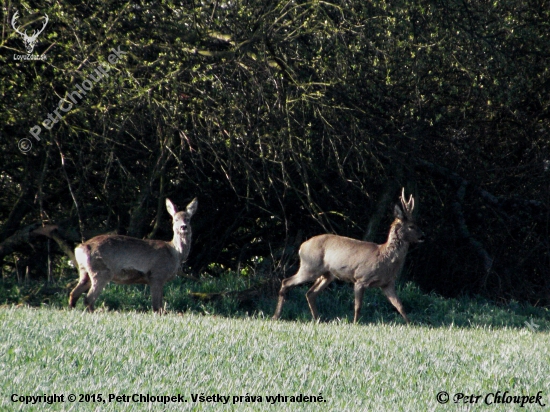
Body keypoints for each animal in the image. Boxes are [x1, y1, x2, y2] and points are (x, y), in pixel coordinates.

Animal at [69, 199, 198, 312]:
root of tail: (79, 248)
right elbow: (157, 307)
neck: (175, 253)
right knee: (88, 298)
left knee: (74, 294)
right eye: (175, 219)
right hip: (101, 271)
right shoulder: (157, 275)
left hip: (85, 271)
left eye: (188, 219)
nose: (183, 226)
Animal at [274, 190, 424, 326]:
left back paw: (318, 319)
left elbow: (400, 306)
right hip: (310, 266)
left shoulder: (387, 283)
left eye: (417, 224)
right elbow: (358, 306)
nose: (423, 236)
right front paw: (355, 323)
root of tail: (302, 247)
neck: (385, 258)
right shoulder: (361, 278)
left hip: (327, 274)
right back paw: (276, 316)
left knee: (310, 293)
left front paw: (410, 324)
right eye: (411, 226)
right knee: (286, 282)